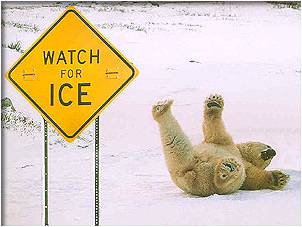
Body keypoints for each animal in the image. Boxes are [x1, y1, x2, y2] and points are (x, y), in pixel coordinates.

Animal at [152, 94, 290, 197]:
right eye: (268, 147)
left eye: (269, 158)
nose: (272, 152)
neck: (240, 152)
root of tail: (188, 175)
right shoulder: (226, 143)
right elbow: (214, 131)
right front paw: (214, 102)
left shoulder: (236, 154)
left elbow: (252, 177)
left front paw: (279, 178)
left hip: (199, 175)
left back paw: (225, 170)